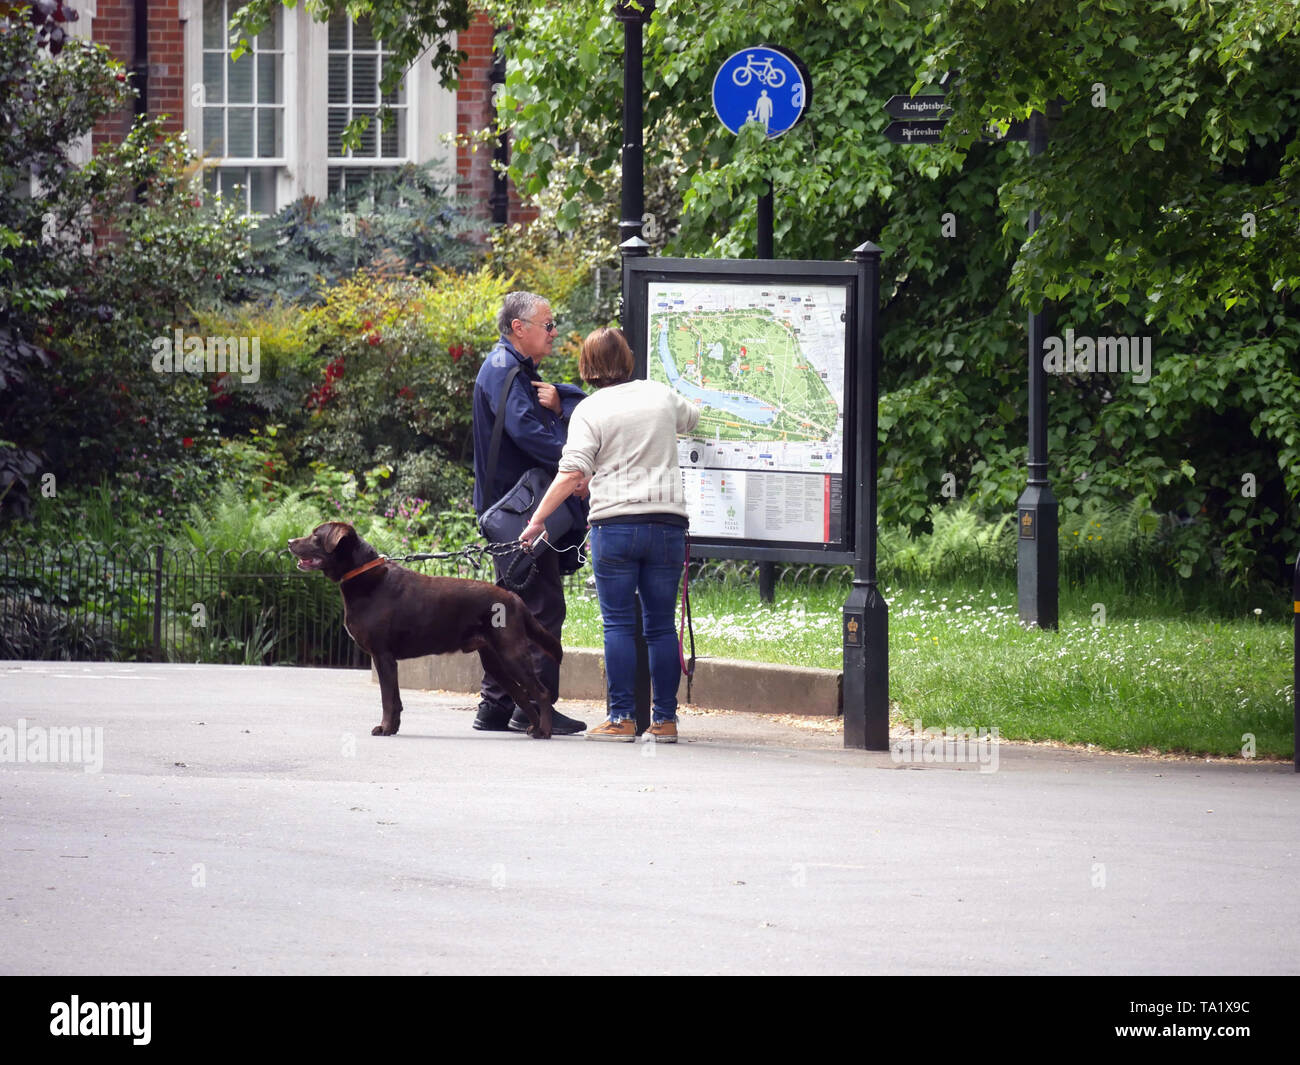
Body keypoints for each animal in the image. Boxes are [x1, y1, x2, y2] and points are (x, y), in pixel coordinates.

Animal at [289, 525, 559, 743]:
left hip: (511, 653)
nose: (290, 541)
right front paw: (393, 728)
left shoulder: (383, 656)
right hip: (495, 662)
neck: (362, 575)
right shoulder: (387, 659)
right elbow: (395, 699)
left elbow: (388, 699)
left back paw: (545, 731)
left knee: (541, 692)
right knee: (522, 695)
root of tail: (514, 598)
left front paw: (384, 728)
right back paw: (534, 729)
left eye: (316, 535)